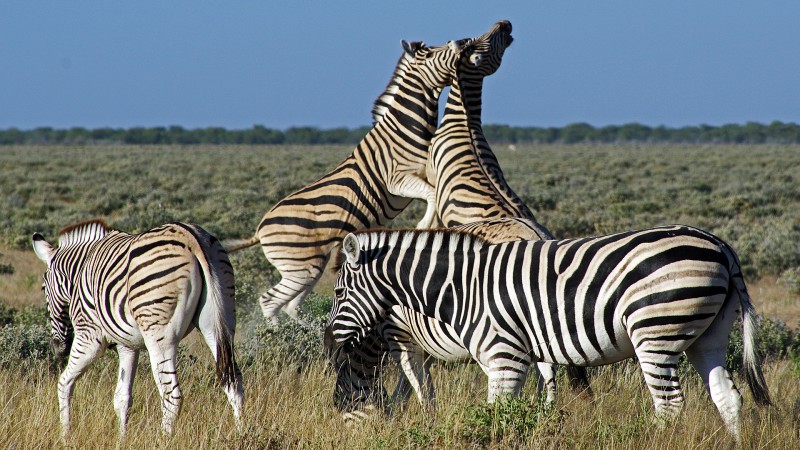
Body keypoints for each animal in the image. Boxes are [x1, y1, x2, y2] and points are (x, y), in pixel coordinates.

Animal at [220, 21, 512, 326]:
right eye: (432, 53)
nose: (462, 41)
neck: (404, 129)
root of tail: (259, 230)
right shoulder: (397, 179)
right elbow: (432, 194)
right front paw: (424, 225)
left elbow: (435, 192)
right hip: (299, 267)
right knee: (270, 301)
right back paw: (278, 334)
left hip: (310, 267)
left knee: (290, 305)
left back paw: (307, 330)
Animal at [328, 223, 772, 442]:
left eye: (338, 292)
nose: (330, 336)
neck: (462, 286)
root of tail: (720, 245)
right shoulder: (511, 358)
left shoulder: (503, 355)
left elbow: (495, 414)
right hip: (708, 336)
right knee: (727, 397)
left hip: (655, 332)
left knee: (670, 406)